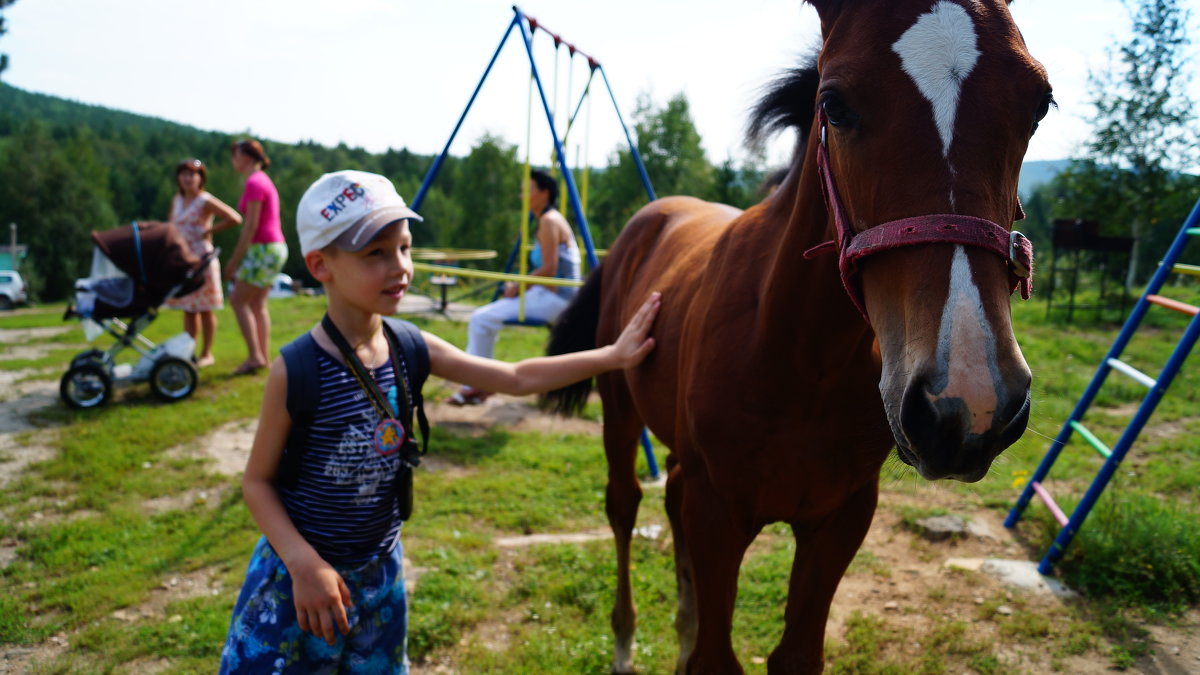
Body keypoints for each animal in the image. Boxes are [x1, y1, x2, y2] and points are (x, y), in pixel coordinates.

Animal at [544, 2, 1051, 667]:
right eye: (833, 104)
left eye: (1039, 105)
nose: (970, 405)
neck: (797, 358)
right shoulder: (718, 515)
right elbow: (715, 654)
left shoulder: (840, 519)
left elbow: (795, 652)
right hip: (620, 411)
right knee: (624, 504)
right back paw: (626, 642)